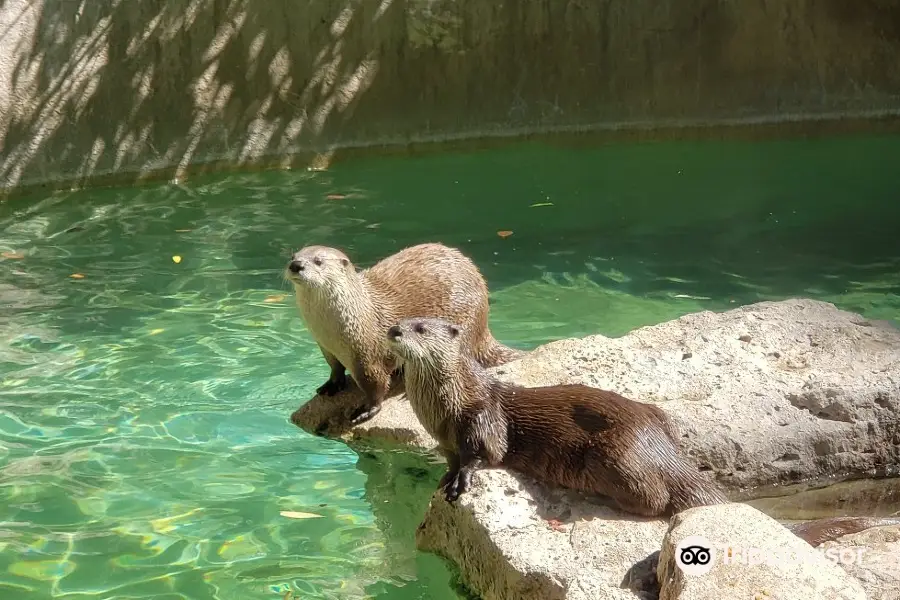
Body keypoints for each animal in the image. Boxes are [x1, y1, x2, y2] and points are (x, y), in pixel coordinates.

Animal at [284, 244, 524, 426]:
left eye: (318, 261)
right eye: (293, 256)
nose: (296, 265)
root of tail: (483, 325)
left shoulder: (367, 355)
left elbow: (376, 384)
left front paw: (366, 410)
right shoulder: (324, 346)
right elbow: (334, 367)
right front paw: (331, 385)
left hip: (464, 324)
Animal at [384, 314, 728, 516]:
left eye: (420, 328)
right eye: (402, 320)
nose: (394, 330)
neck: (447, 407)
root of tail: (656, 444)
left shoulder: (482, 419)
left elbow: (484, 455)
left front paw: (460, 481)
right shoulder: (446, 441)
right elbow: (452, 459)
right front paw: (446, 476)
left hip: (614, 456)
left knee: (654, 499)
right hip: (657, 417)